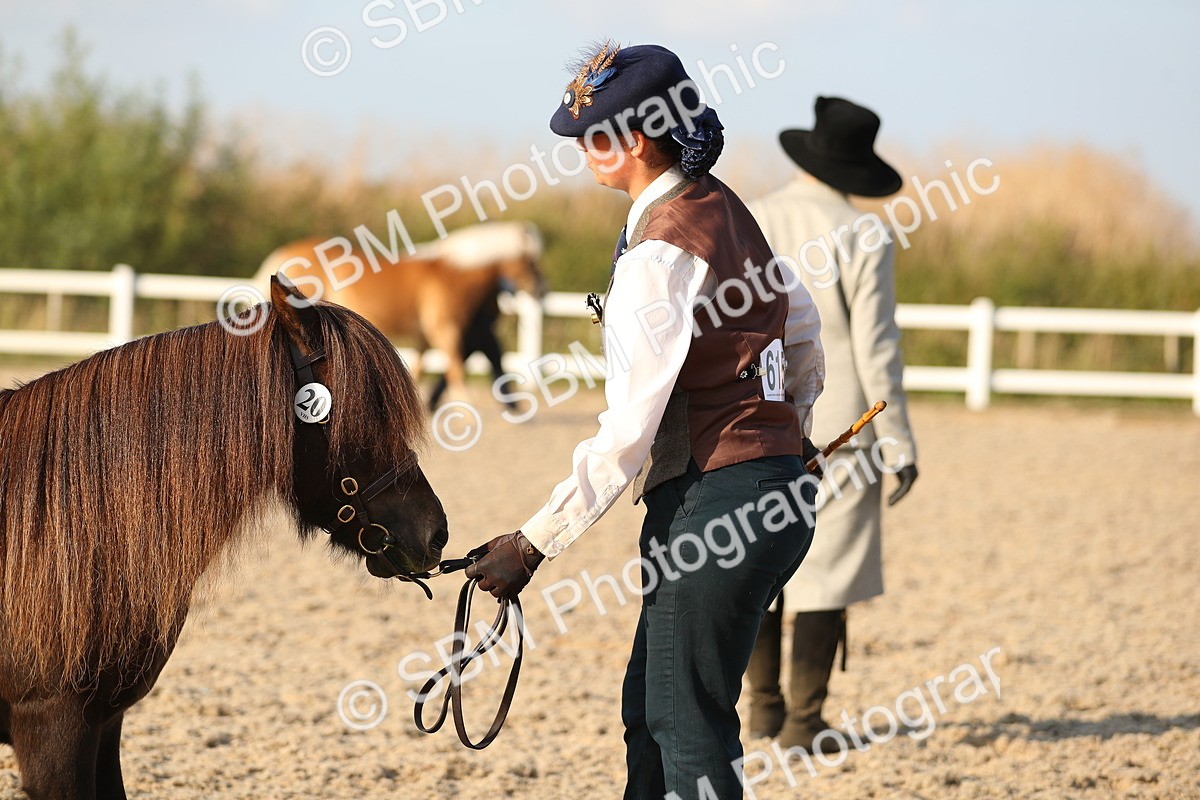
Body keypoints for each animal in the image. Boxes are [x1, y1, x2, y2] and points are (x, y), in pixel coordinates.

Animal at [255, 220, 546, 405]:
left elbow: (419, 368)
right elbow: (455, 369)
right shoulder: (444, 330)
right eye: (530, 260)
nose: (542, 291)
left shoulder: (426, 336)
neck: (453, 273)